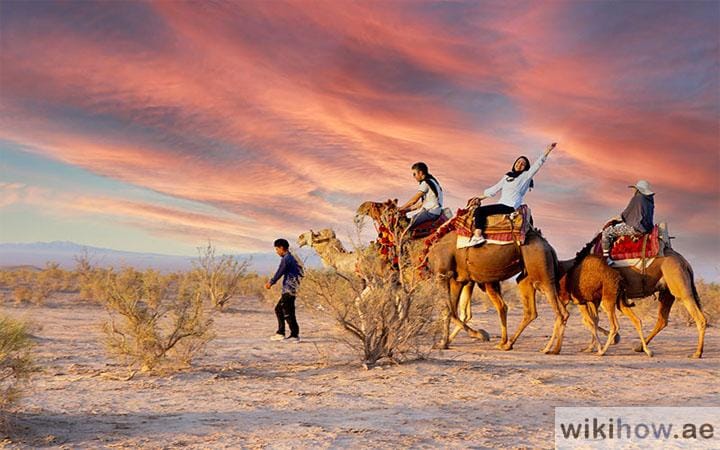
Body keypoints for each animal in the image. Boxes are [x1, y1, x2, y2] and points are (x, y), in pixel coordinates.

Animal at [574, 236, 706, 358]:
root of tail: (685, 263)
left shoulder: (594, 297)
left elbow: (589, 320)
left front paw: (598, 346)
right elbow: (592, 319)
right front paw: (593, 347)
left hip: (678, 283)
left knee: (699, 317)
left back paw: (697, 353)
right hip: (667, 291)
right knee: (662, 320)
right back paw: (640, 347)